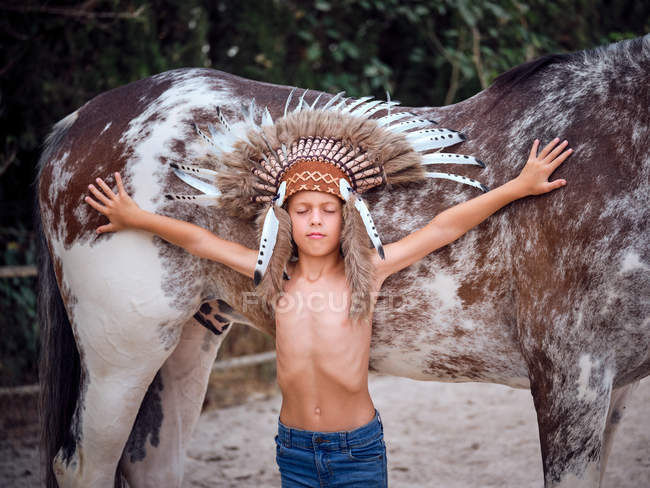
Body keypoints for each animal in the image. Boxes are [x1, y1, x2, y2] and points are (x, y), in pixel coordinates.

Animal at [38, 35, 644, 488]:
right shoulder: (571, 378)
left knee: (152, 464)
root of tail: (76, 122)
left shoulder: (616, 389)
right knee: (83, 467)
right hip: (124, 352)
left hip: (188, 339)